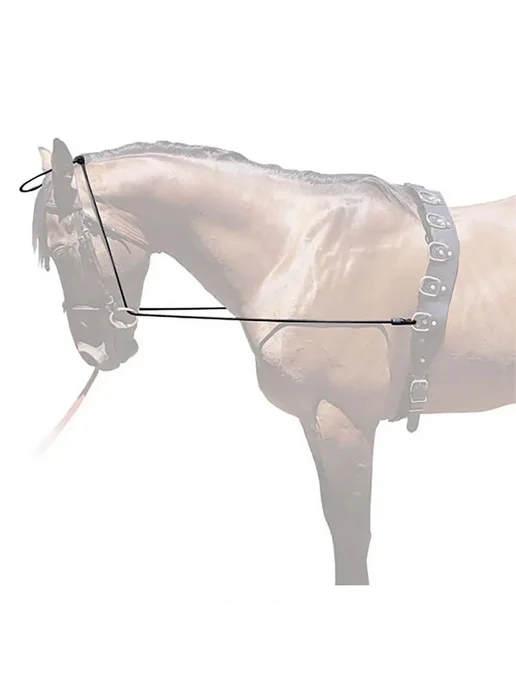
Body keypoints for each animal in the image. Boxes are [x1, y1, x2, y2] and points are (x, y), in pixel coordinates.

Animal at [29, 138, 516, 585]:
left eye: (63, 252)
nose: (94, 351)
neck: (303, 254)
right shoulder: (318, 421)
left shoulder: (345, 420)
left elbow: (352, 537)